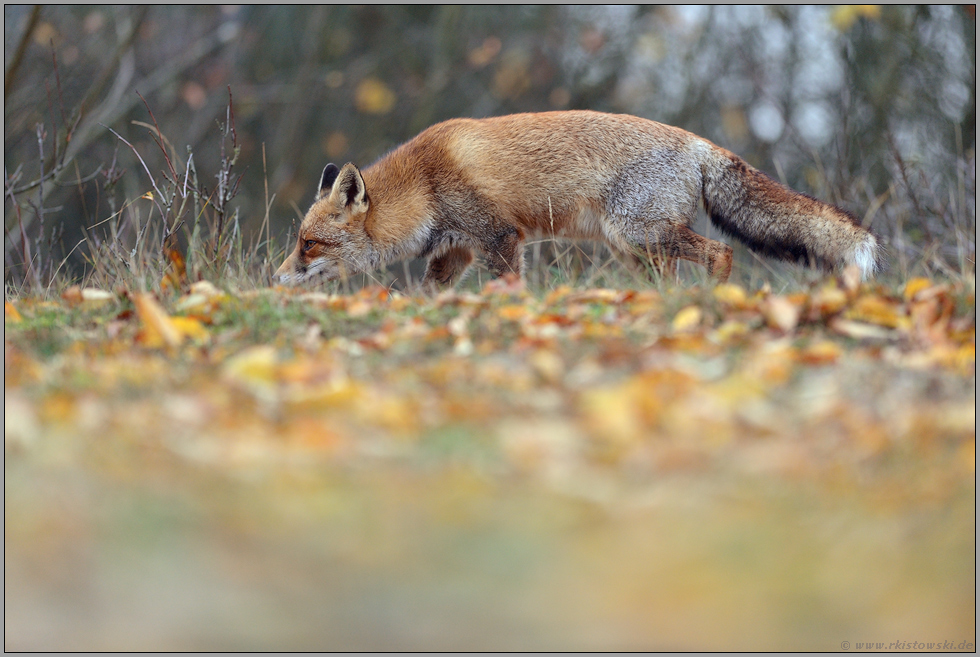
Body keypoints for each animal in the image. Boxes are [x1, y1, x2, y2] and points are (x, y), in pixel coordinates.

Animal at [276, 110, 880, 288]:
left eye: (309, 245)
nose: (273, 278)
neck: (425, 183)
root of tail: (697, 142)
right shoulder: (455, 250)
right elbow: (430, 296)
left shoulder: (499, 237)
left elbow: (507, 288)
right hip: (633, 249)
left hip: (640, 232)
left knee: (721, 252)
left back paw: (713, 303)